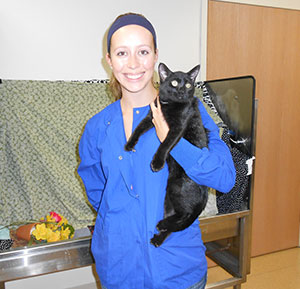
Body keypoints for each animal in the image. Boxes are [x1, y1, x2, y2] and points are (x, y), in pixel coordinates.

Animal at [124, 62, 209, 245]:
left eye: (189, 85)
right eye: (175, 83)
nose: (182, 91)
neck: (169, 104)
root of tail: (205, 192)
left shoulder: (177, 128)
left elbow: (165, 144)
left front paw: (157, 162)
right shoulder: (151, 116)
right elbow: (138, 128)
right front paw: (129, 144)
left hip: (176, 188)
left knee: (184, 215)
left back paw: (162, 225)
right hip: (169, 197)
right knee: (177, 220)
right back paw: (159, 236)